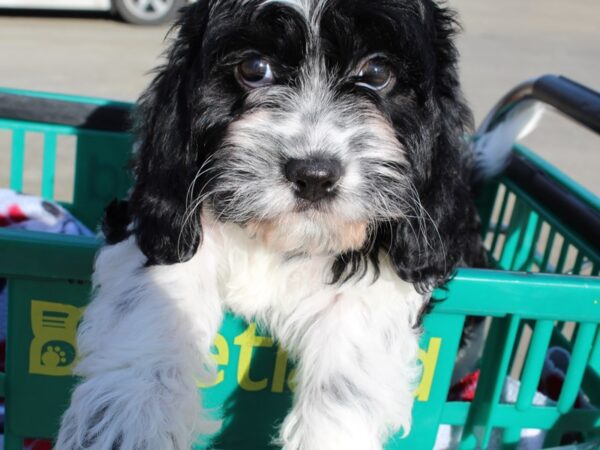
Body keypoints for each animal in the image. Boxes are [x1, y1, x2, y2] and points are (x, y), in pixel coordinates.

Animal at [57, 0, 482, 450]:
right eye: (254, 68)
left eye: (378, 72)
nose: (314, 174)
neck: (281, 240)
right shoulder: (164, 218)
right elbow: (156, 297)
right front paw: (130, 420)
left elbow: (350, 361)